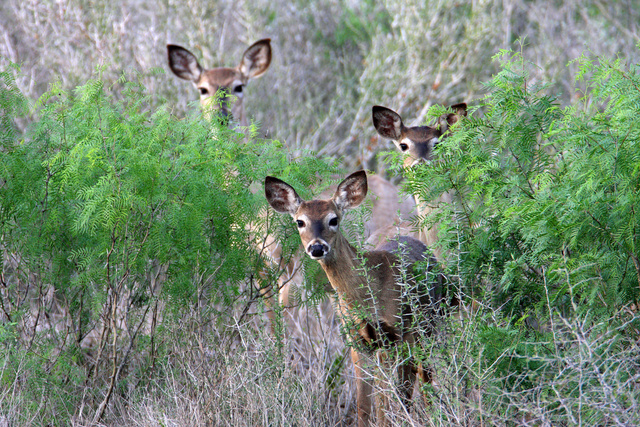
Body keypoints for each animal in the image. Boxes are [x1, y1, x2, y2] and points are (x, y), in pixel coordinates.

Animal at [265, 170, 443, 426]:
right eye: (300, 221)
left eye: (333, 219)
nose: (317, 248)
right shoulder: (357, 340)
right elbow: (364, 405)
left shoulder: (392, 334)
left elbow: (387, 400)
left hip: (426, 326)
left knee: (421, 377)